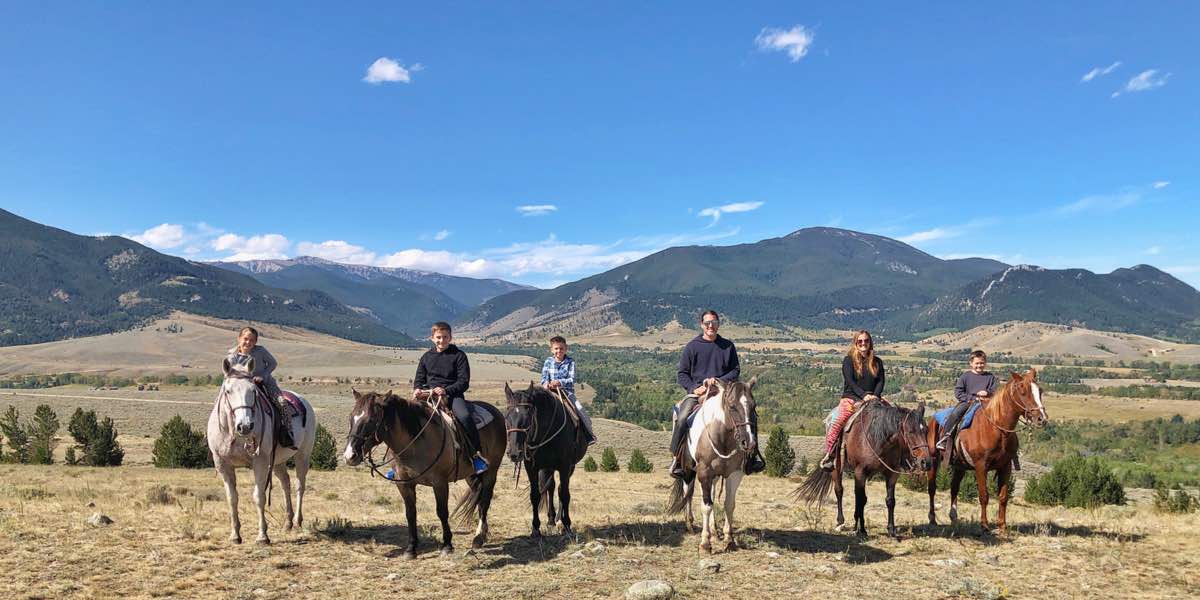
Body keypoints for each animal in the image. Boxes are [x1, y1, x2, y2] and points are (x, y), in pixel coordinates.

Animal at [208, 357, 316, 547]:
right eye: (228, 391)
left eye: (253, 391)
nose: (245, 426)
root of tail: (304, 402)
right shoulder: (223, 464)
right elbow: (232, 498)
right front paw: (235, 535)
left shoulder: (260, 462)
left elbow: (259, 496)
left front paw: (262, 536)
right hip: (278, 461)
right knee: (285, 483)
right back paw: (288, 522)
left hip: (302, 455)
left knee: (299, 485)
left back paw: (297, 521)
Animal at [340, 388, 504, 556]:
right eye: (351, 418)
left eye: (371, 420)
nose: (349, 456)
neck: (415, 444)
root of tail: (495, 411)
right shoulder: (404, 483)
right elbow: (410, 513)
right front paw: (411, 548)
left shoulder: (439, 482)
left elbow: (442, 512)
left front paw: (447, 545)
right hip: (470, 475)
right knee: (478, 496)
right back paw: (482, 535)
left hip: (491, 471)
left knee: (485, 500)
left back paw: (478, 538)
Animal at [501, 381, 585, 537]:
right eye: (506, 417)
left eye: (528, 417)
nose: (514, 453)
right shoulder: (531, 467)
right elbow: (535, 495)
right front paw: (535, 528)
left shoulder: (565, 466)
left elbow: (564, 494)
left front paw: (567, 524)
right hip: (547, 467)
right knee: (550, 487)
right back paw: (551, 519)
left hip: (569, 467)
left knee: (559, 488)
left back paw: (559, 519)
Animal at [801, 400, 931, 537]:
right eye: (910, 431)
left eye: (926, 430)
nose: (926, 462)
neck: (878, 439)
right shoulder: (860, 472)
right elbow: (862, 499)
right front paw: (862, 530)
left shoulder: (891, 474)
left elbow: (890, 500)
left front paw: (891, 529)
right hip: (836, 468)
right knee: (839, 491)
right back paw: (840, 522)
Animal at [921, 367, 1046, 532]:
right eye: (1022, 390)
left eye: (1040, 390)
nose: (1041, 419)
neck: (997, 429)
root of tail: (933, 419)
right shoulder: (981, 466)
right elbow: (983, 495)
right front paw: (984, 525)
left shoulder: (1005, 467)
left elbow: (1003, 496)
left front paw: (1002, 526)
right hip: (933, 461)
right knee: (932, 488)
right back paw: (932, 518)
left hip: (960, 466)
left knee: (954, 487)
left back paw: (954, 518)